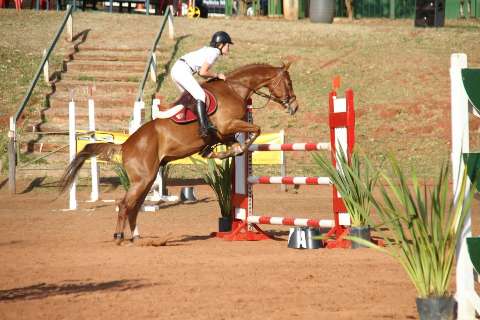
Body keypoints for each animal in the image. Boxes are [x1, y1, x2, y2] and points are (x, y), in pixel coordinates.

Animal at [60, 61, 298, 244]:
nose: (294, 107)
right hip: (143, 179)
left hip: (147, 179)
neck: (234, 88)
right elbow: (256, 130)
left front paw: (220, 153)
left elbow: (238, 139)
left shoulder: (224, 133)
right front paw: (232, 151)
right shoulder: (227, 125)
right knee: (124, 204)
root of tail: (127, 144)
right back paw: (119, 236)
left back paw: (135, 237)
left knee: (133, 207)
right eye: (288, 82)